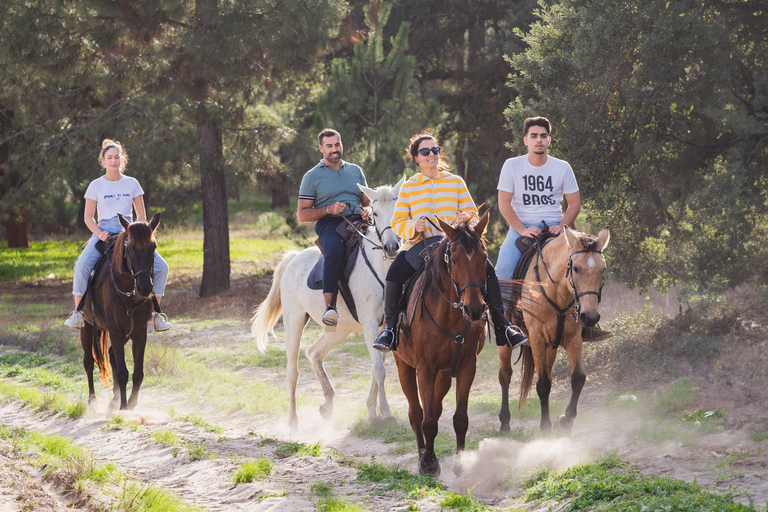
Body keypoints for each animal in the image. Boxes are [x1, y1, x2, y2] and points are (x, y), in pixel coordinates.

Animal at [81, 214, 160, 410]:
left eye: (153, 246)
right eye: (130, 247)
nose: (145, 287)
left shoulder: (139, 332)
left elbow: (138, 373)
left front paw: (131, 403)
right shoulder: (116, 331)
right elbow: (123, 372)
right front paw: (123, 407)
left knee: (110, 354)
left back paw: (114, 397)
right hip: (87, 325)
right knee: (88, 361)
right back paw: (92, 400)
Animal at [254, 178, 408, 430]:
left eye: (399, 211)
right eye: (375, 213)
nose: (392, 246)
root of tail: (293, 258)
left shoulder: (385, 328)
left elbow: (376, 369)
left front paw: (372, 411)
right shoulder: (369, 324)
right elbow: (379, 369)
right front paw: (386, 413)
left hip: (338, 330)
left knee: (313, 353)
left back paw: (327, 404)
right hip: (294, 322)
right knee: (292, 371)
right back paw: (293, 421)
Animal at [392, 210, 488, 478]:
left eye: (484, 258)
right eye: (453, 260)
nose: (475, 309)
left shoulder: (467, 366)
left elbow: (460, 419)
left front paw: (460, 463)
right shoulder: (424, 368)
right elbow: (427, 420)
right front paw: (428, 463)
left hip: (444, 373)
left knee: (434, 405)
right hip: (404, 365)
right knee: (416, 413)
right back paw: (422, 454)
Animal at [498, 226, 612, 430]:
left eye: (603, 269)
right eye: (575, 268)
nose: (590, 317)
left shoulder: (573, 339)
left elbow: (577, 378)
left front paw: (566, 419)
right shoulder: (537, 340)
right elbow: (543, 384)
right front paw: (545, 425)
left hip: (551, 347)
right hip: (506, 342)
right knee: (505, 375)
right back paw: (504, 422)